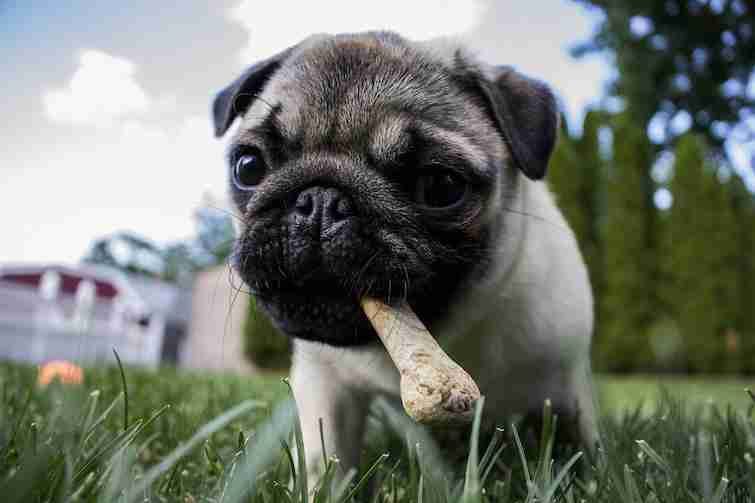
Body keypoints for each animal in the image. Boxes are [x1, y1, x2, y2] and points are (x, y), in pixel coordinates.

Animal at [211, 30, 596, 476]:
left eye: (441, 186)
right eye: (248, 166)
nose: (320, 201)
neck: (445, 334)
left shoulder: (567, 385)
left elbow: (584, 446)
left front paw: (590, 474)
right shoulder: (325, 385)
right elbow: (325, 459)